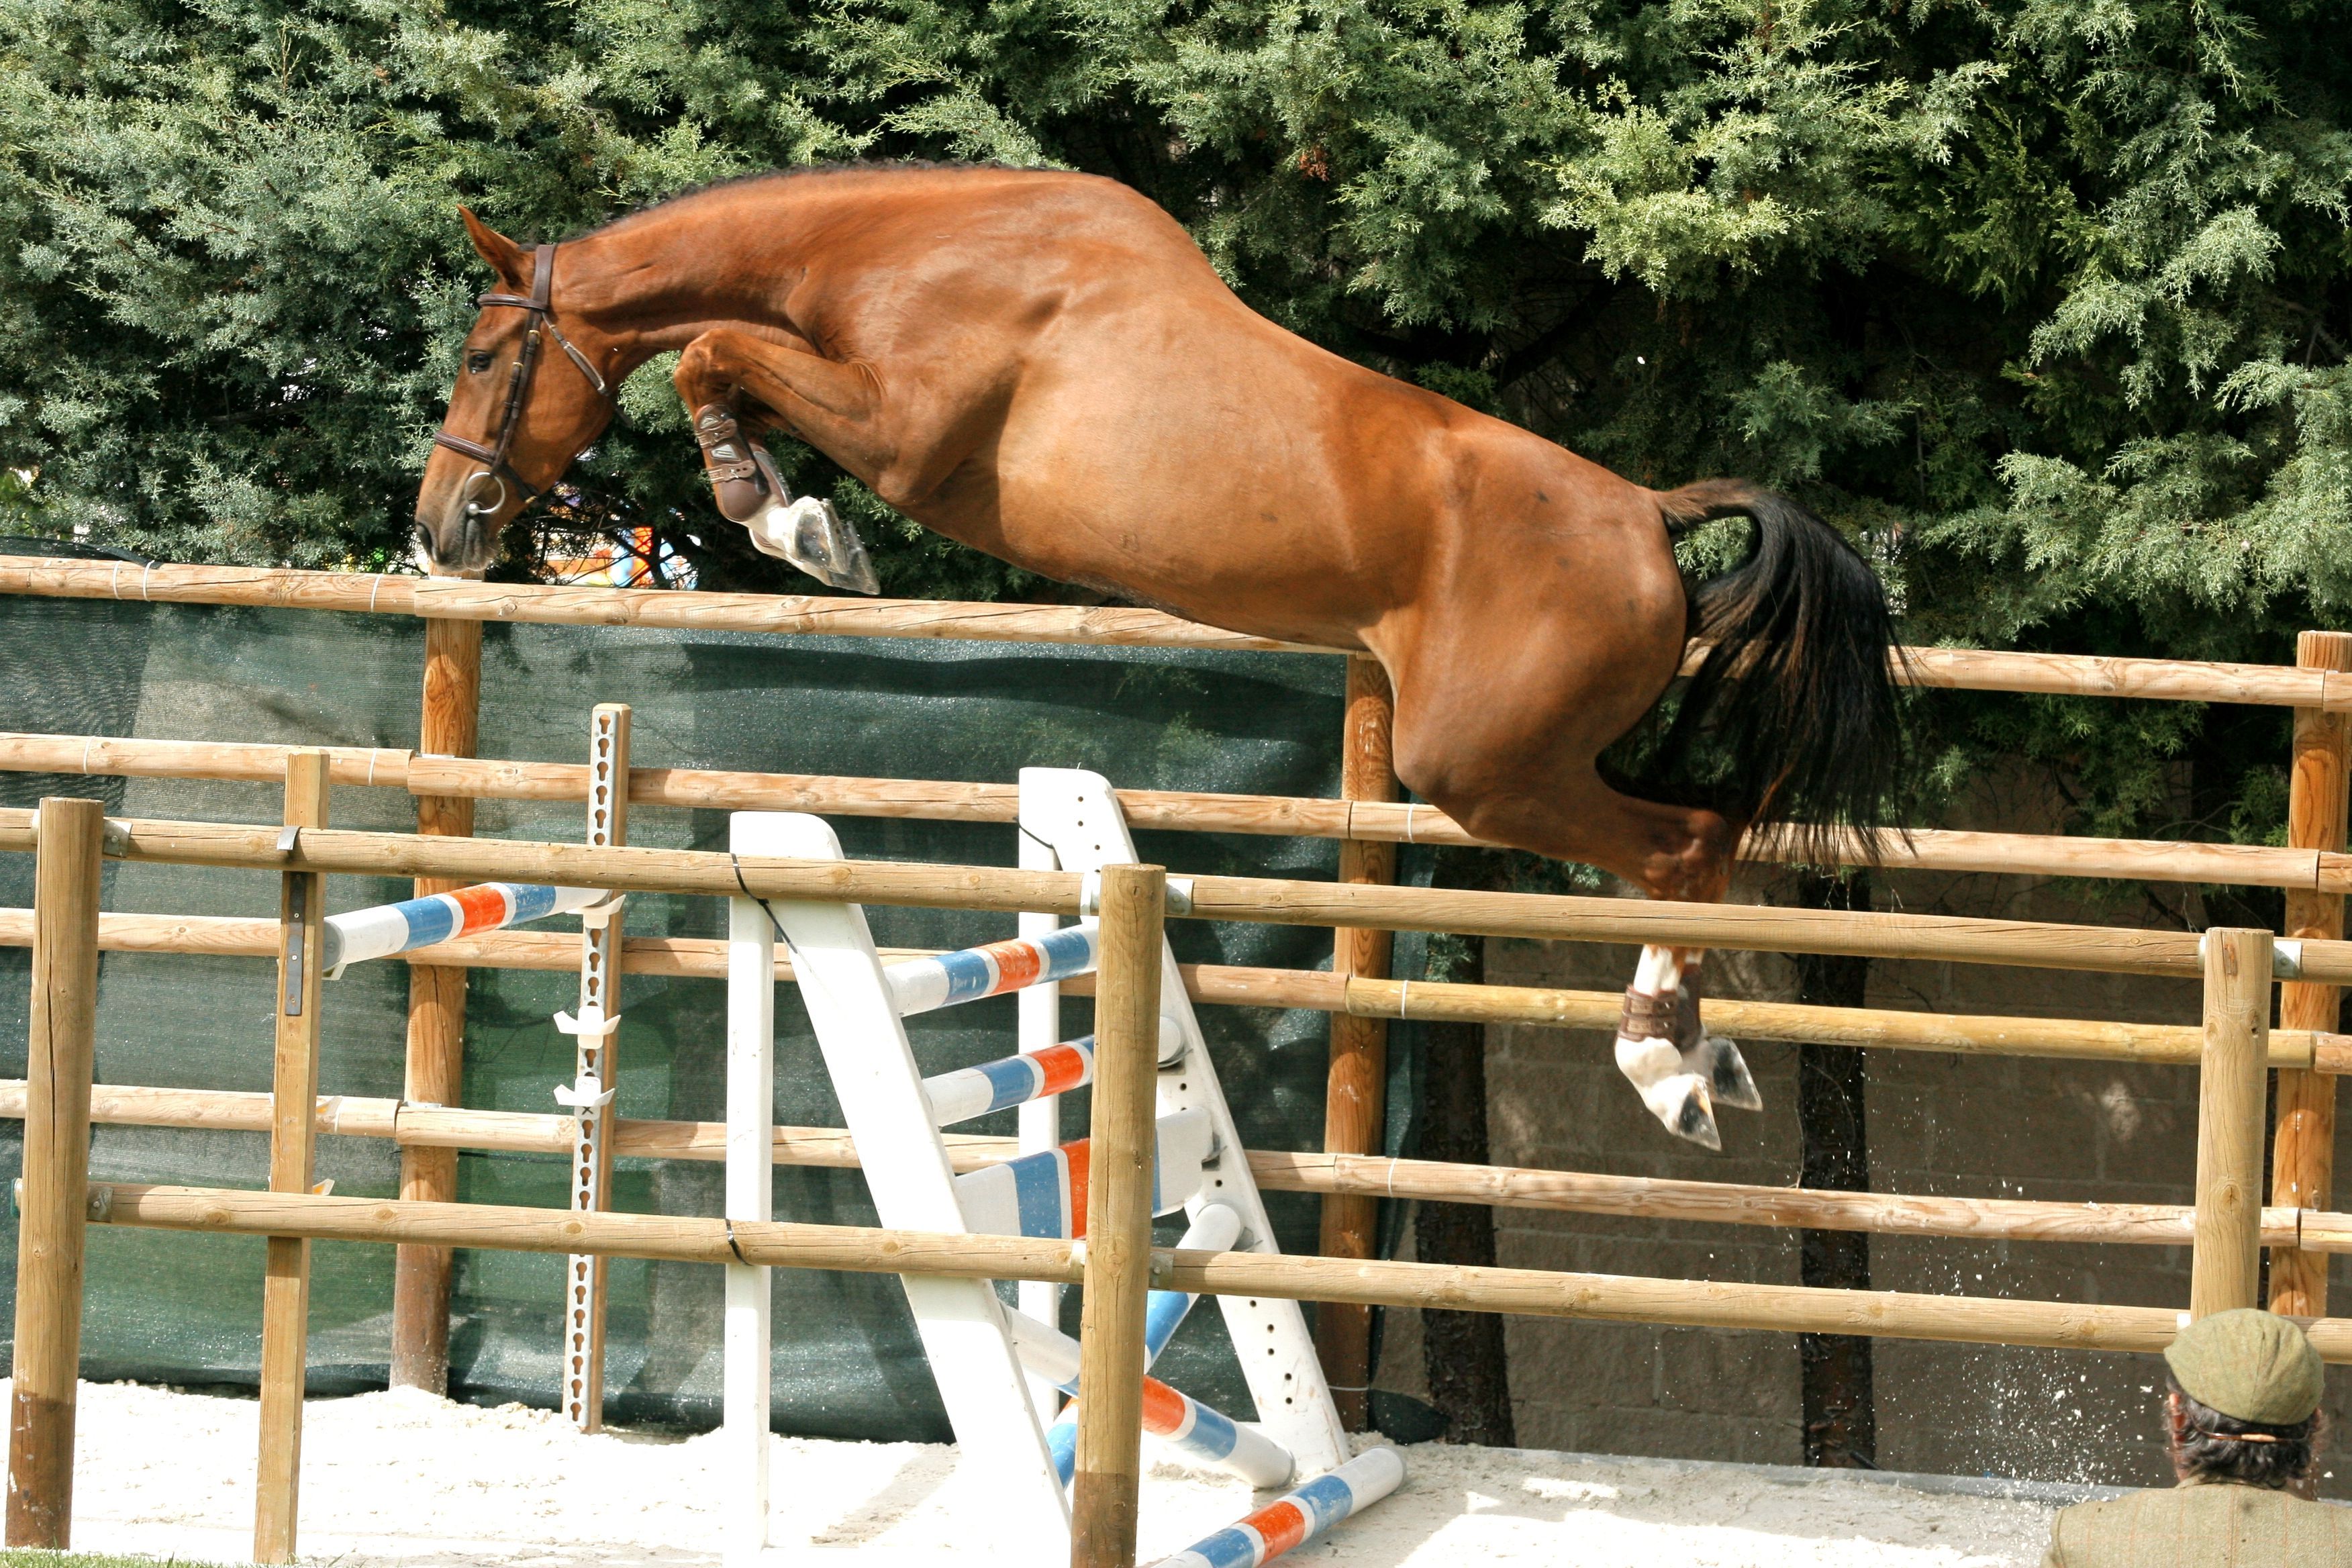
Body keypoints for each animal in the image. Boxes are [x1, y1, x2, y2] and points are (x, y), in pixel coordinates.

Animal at [415, 163, 1902, 1149]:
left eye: (486, 354)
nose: (444, 526)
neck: (906, 246)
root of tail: (1646, 515)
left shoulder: (903, 431)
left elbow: (713, 354)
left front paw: (799, 527)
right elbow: (721, 360)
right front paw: (783, 507)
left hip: (1481, 765)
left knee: (1686, 846)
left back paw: (1666, 1067)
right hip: (1523, 759)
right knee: (1702, 837)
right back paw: (1699, 1056)